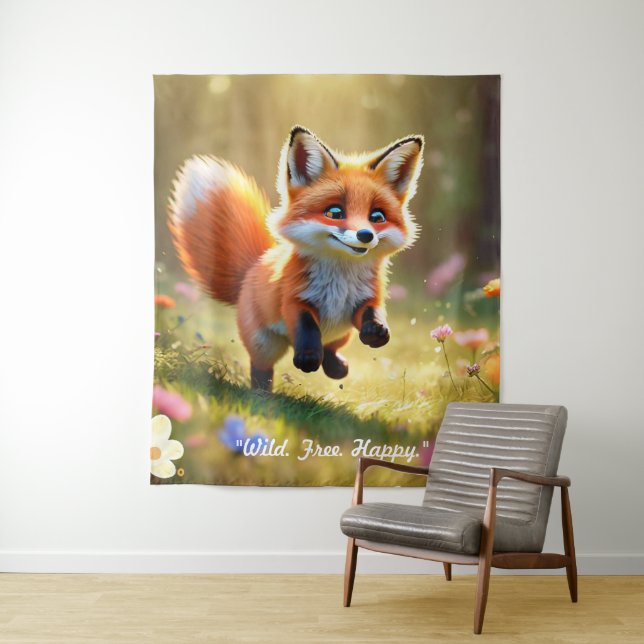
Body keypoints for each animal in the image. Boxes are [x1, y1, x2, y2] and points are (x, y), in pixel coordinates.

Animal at [168, 126, 424, 391]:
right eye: (335, 212)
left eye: (377, 217)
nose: (365, 235)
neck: (339, 282)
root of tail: (252, 269)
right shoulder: (293, 299)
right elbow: (307, 327)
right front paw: (308, 356)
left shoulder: (365, 298)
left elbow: (372, 312)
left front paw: (376, 331)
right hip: (263, 343)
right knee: (261, 369)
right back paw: (262, 395)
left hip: (342, 334)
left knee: (331, 349)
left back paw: (336, 367)